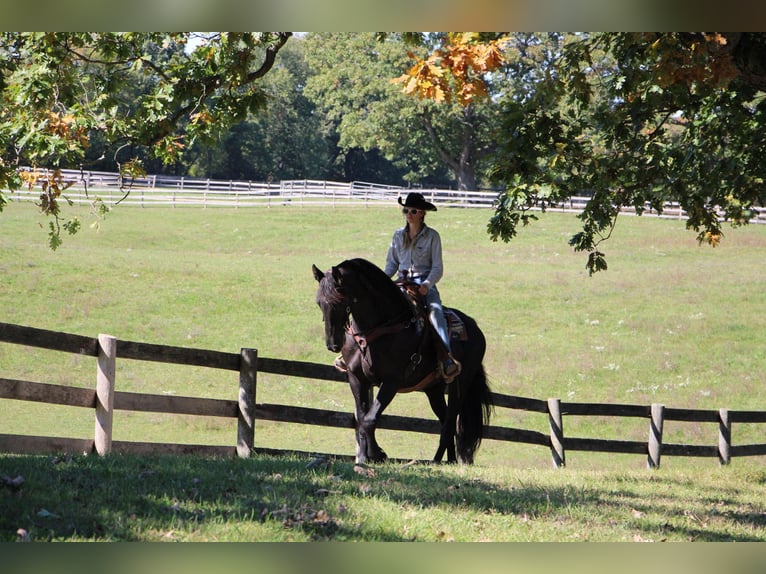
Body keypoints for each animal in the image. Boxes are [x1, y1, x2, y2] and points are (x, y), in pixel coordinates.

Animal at [316, 258, 496, 466]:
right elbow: (361, 418)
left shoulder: (391, 382)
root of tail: (475, 328)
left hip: (460, 384)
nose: (333, 344)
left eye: (339, 300)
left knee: (450, 424)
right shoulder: (357, 379)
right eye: (319, 302)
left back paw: (437, 461)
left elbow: (370, 419)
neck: (377, 329)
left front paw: (377, 454)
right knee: (444, 421)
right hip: (433, 389)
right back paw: (445, 460)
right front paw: (365, 456)